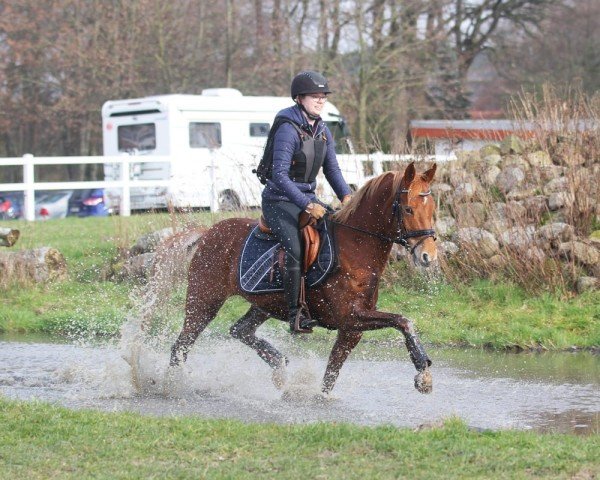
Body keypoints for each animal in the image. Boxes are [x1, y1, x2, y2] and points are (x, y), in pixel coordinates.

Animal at [169, 163, 436, 396]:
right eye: (408, 209)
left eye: (432, 210)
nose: (429, 256)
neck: (355, 247)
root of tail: (207, 233)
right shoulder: (350, 318)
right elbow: (403, 321)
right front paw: (422, 372)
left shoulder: (351, 330)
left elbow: (331, 375)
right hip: (204, 301)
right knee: (181, 346)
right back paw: (172, 384)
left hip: (265, 305)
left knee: (240, 330)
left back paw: (279, 366)